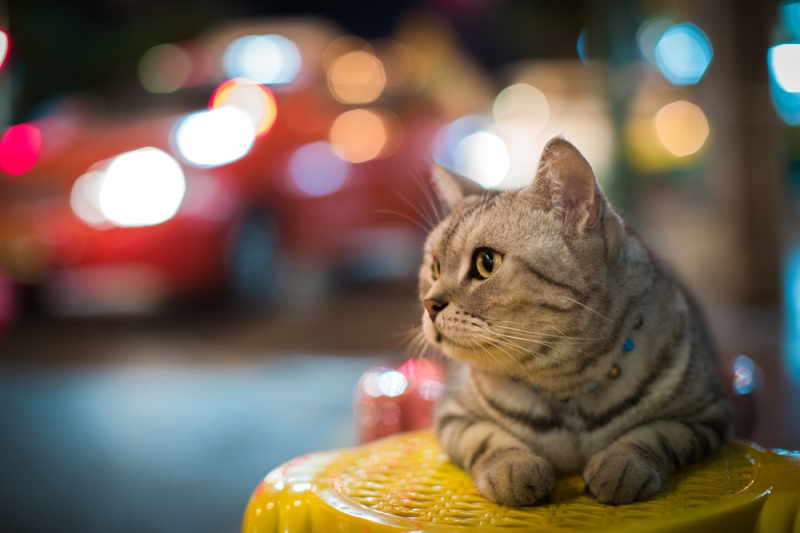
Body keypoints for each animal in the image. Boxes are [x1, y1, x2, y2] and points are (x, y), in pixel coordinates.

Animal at [422, 136, 736, 502]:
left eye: (487, 262)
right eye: (434, 267)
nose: (429, 305)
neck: (567, 390)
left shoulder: (705, 414)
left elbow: (655, 436)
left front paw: (622, 468)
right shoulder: (452, 415)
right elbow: (488, 439)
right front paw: (514, 470)